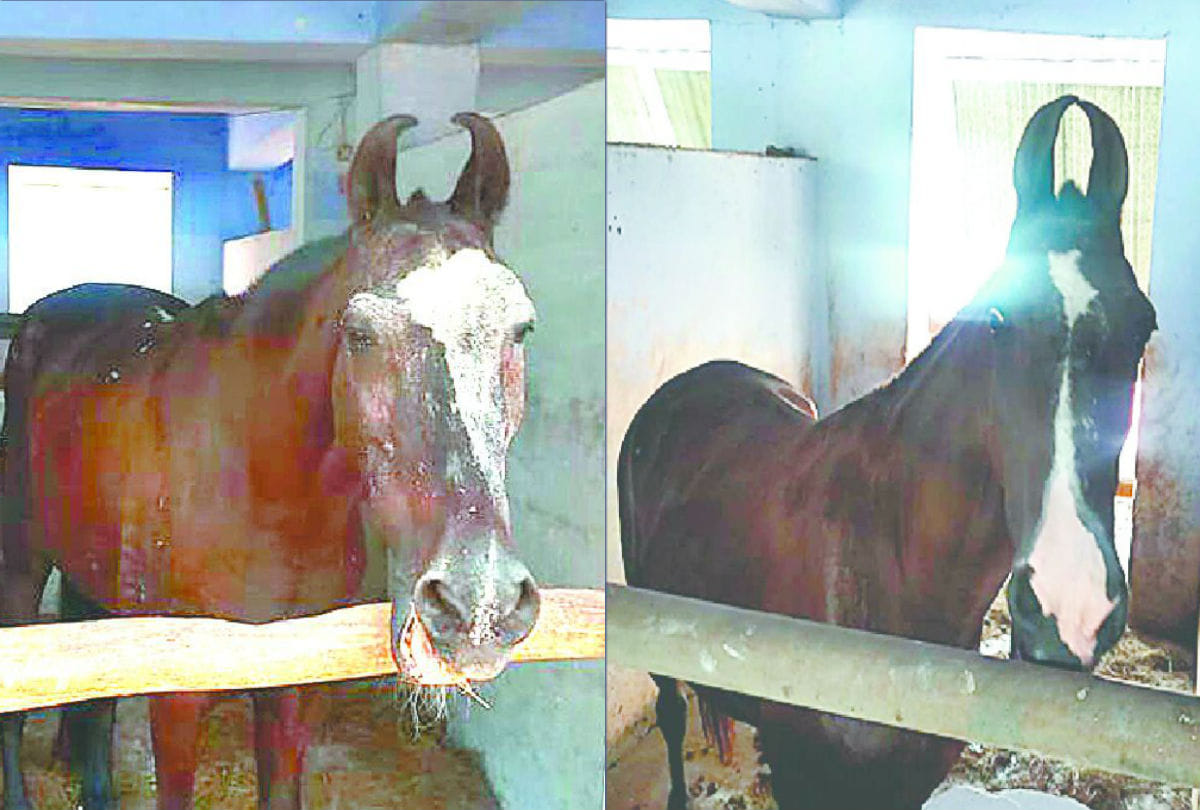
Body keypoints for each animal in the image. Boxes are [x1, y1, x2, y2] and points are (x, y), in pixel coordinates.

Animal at [0, 111, 541, 810]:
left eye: (520, 330)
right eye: (360, 334)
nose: (479, 607)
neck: (266, 495)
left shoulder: (295, 691)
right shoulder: (177, 700)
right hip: (22, 561)